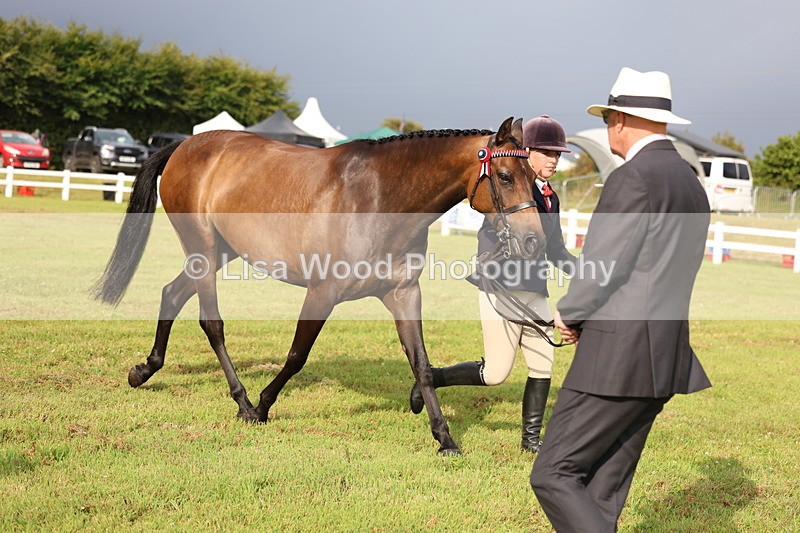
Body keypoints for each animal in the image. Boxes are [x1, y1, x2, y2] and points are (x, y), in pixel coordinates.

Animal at [94, 117, 545, 455]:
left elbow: (421, 363)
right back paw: (241, 400)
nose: (533, 241)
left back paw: (143, 371)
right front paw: (262, 407)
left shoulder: (403, 294)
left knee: (171, 294)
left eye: (537, 180)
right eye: (506, 176)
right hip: (203, 250)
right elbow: (297, 355)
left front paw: (444, 437)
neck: (378, 197)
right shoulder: (322, 293)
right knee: (212, 323)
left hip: (220, 252)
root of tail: (186, 145)